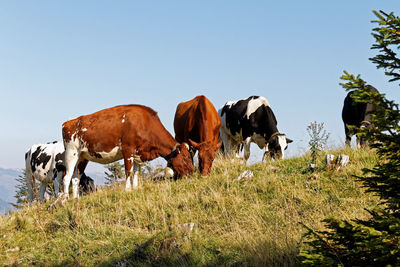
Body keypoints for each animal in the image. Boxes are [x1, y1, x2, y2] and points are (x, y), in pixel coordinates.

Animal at [59, 104, 195, 199]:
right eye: (186, 158)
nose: (192, 173)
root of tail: (69, 122)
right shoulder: (128, 150)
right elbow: (128, 172)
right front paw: (128, 190)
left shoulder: (138, 154)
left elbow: (136, 172)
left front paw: (135, 188)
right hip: (71, 153)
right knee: (66, 177)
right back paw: (66, 199)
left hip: (82, 157)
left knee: (75, 178)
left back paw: (76, 198)